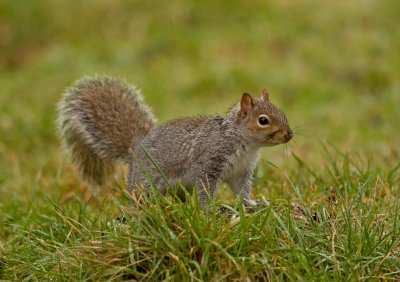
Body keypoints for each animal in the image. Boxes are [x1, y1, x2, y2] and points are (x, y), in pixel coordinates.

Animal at [57, 76, 294, 208]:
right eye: (263, 120)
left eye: (281, 112)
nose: (289, 135)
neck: (245, 144)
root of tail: (135, 147)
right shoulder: (208, 162)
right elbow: (205, 188)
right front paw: (209, 209)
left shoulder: (241, 171)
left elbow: (241, 190)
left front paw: (251, 203)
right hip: (145, 181)